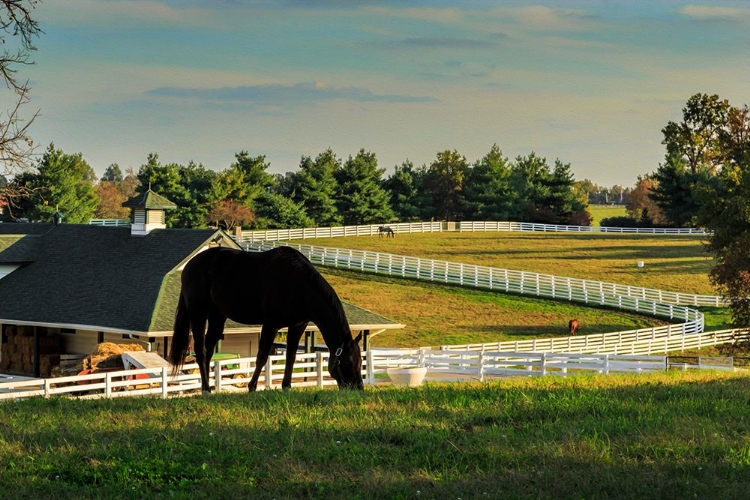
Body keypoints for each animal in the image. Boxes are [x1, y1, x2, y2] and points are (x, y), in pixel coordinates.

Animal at [173, 248, 368, 392]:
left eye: (361, 361)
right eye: (348, 362)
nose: (358, 387)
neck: (299, 285)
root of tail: (189, 266)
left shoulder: (298, 326)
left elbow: (291, 357)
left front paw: (286, 386)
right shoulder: (271, 324)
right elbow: (261, 356)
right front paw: (252, 387)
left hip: (217, 316)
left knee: (208, 350)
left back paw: (208, 388)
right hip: (198, 314)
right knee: (200, 350)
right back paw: (206, 389)